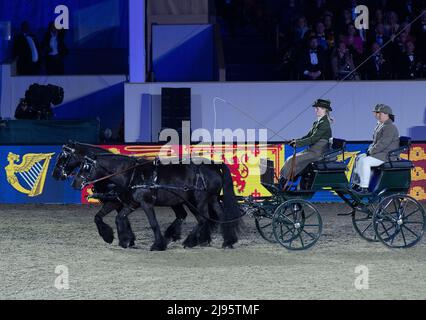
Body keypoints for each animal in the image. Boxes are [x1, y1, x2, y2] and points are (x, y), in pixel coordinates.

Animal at [53, 142, 191, 245]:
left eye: (64, 156)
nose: (55, 174)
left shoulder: (118, 201)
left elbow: (120, 218)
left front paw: (126, 239)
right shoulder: (117, 201)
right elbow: (101, 217)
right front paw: (125, 238)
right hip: (174, 200)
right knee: (182, 215)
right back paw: (172, 236)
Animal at [71, 154, 241, 251]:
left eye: (86, 167)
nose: (74, 184)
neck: (131, 174)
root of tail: (214, 165)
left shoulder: (145, 203)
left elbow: (153, 223)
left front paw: (157, 245)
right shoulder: (130, 202)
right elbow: (114, 217)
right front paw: (120, 239)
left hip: (196, 201)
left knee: (203, 219)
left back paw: (190, 242)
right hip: (211, 198)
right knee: (220, 216)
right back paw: (227, 241)